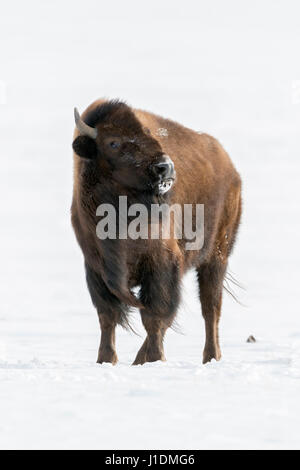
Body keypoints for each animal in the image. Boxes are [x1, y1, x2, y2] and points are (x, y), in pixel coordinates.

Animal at [71, 98, 241, 364]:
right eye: (113, 142)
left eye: (150, 135)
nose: (165, 167)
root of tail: (230, 168)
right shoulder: (96, 268)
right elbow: (107, 317)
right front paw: (106, 360)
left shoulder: (161, 264)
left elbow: (155, 316)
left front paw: (154, 358)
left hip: (216, 257)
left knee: (210, 308)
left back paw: (211, 357)